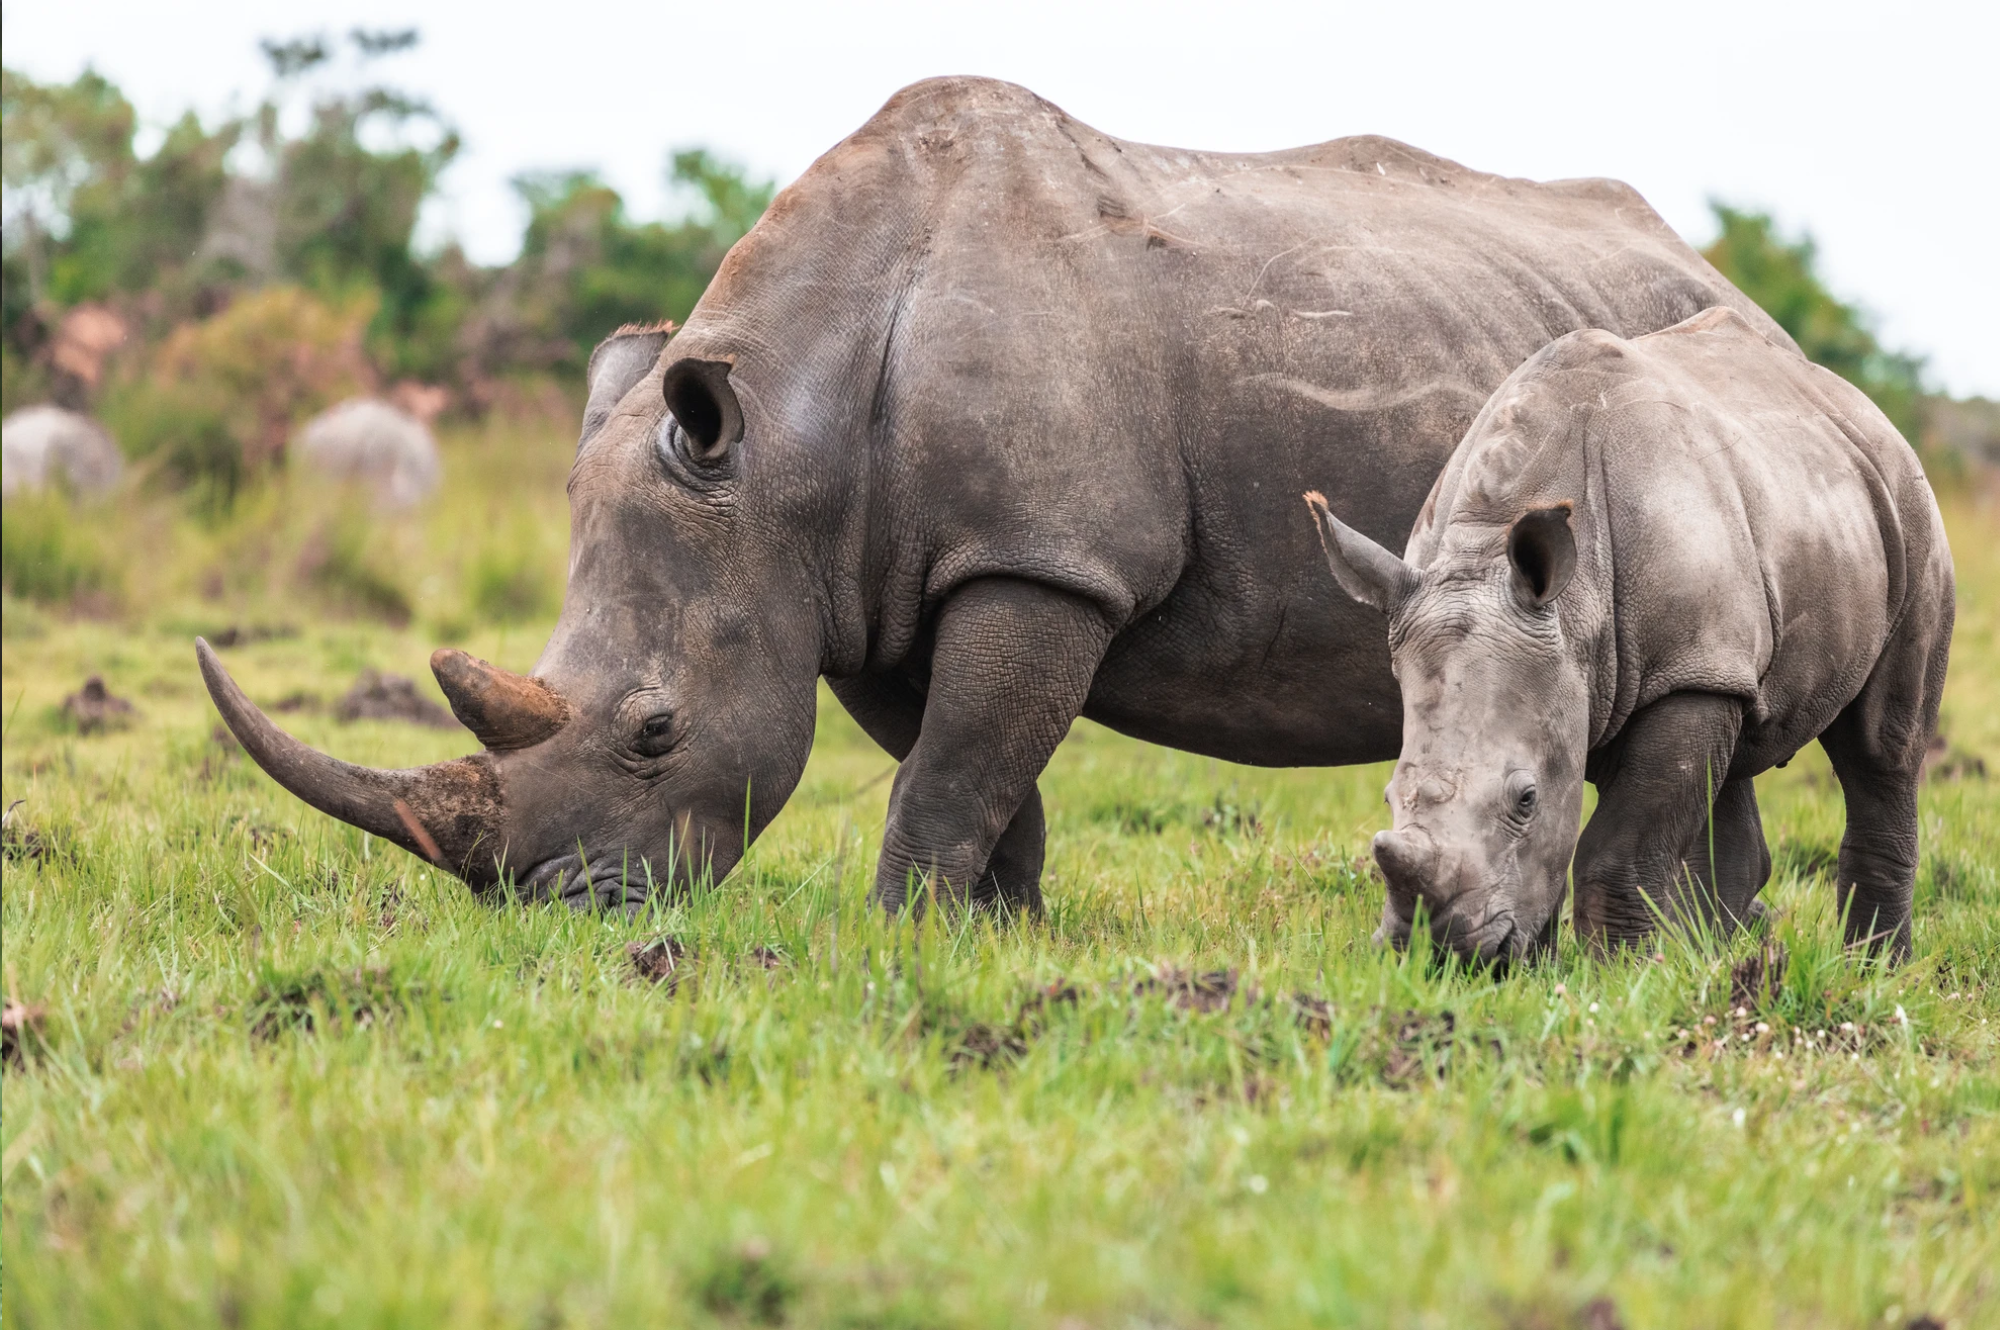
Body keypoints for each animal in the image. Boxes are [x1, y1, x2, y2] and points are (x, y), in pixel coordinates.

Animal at [199, 77, 1796, 915]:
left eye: (654, 730)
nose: (560, 913)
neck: (782, 441)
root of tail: (1727, 282)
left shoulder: (1043, 554)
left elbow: (958, 761)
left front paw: (899, 933)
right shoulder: (872, 579)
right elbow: (971, 762)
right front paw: (998, 937)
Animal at [1307, 306, 1954, 962]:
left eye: (1525, 798)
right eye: (1389, 798)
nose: (1437, 953)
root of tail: (1860, 405)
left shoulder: (1685, 669)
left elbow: (1617, 850)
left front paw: (1620, 973)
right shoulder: (1620, 670)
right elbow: (1563, 848)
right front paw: (1548, 970)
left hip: (1906, 505)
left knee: (1882, 749)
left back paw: (1874, 970)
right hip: (1774, 548)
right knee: (1738, 751)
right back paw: (1703, 964)